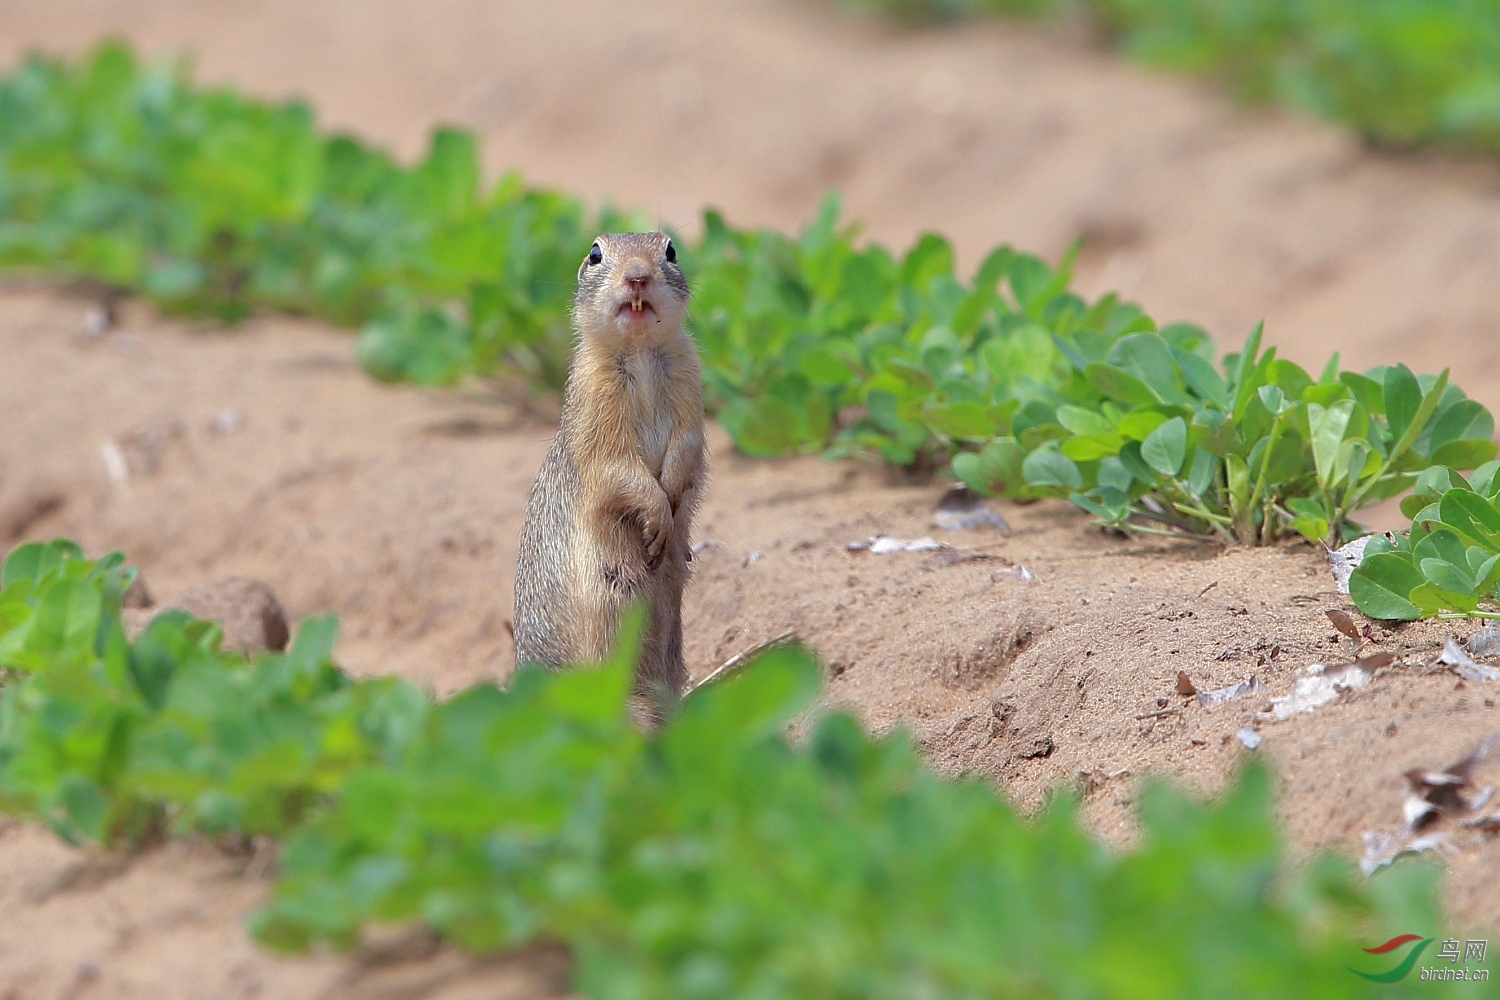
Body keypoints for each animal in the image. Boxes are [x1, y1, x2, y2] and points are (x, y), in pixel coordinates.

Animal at [513, 232, 705, 704]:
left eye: (670, 250)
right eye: (595, 253)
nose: (637, 276)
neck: (639, 353)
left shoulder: (690, 389)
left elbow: (685, 449)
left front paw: (674, 501)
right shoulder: (596, 415)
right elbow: (619, 471)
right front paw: (659, 515)